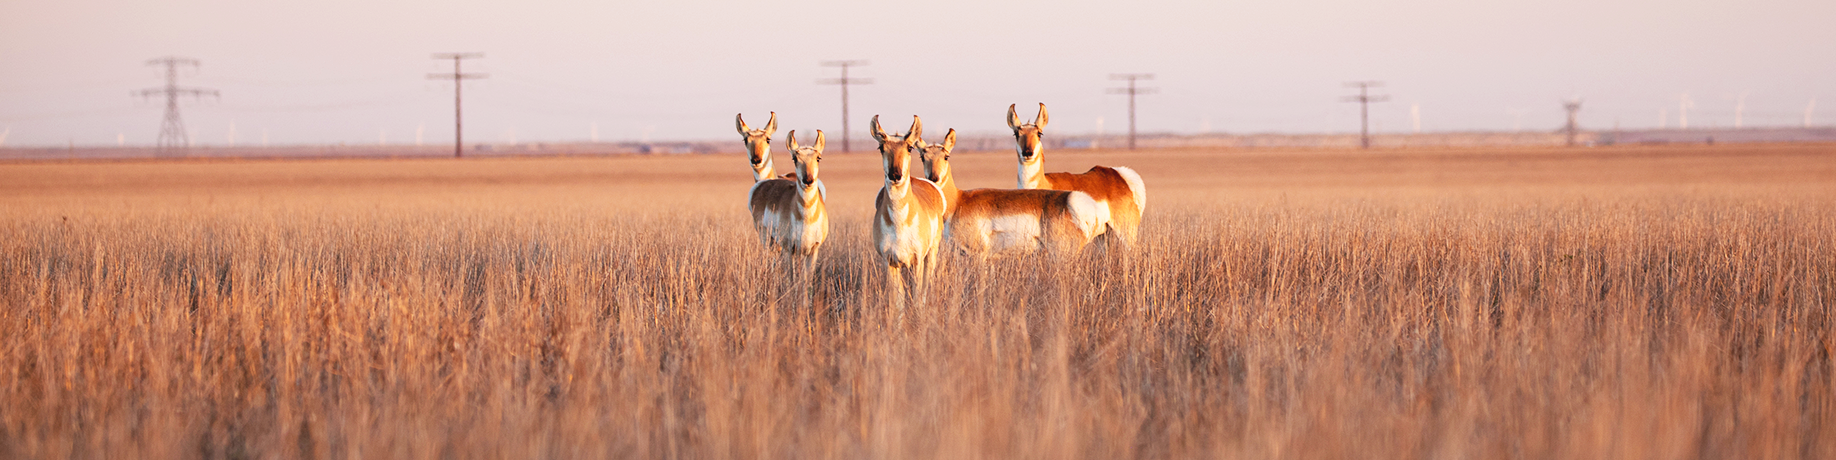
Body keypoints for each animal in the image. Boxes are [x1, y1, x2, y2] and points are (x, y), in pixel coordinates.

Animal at [870, 115, 948, 312]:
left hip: (931, 252)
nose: (895, 174)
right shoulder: (889, 262)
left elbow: (917, 296)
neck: (899, 224)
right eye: (881, 148)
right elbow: (897, 301)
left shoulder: (917, 261)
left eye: (909, 147)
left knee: (926, 286)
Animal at [918, 128, 1102, 258]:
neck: (958, 201)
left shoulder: (978, 256)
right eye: (922, 157)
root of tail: (1072, 199)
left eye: (946, 156)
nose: (933, 178)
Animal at [1009, 103, 1148, 246]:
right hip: (1103, 236)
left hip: (1126, 232)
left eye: (1039, 133)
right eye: (1016, 133)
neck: (1044, 184)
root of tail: (1119, 174)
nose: (1027, 153)